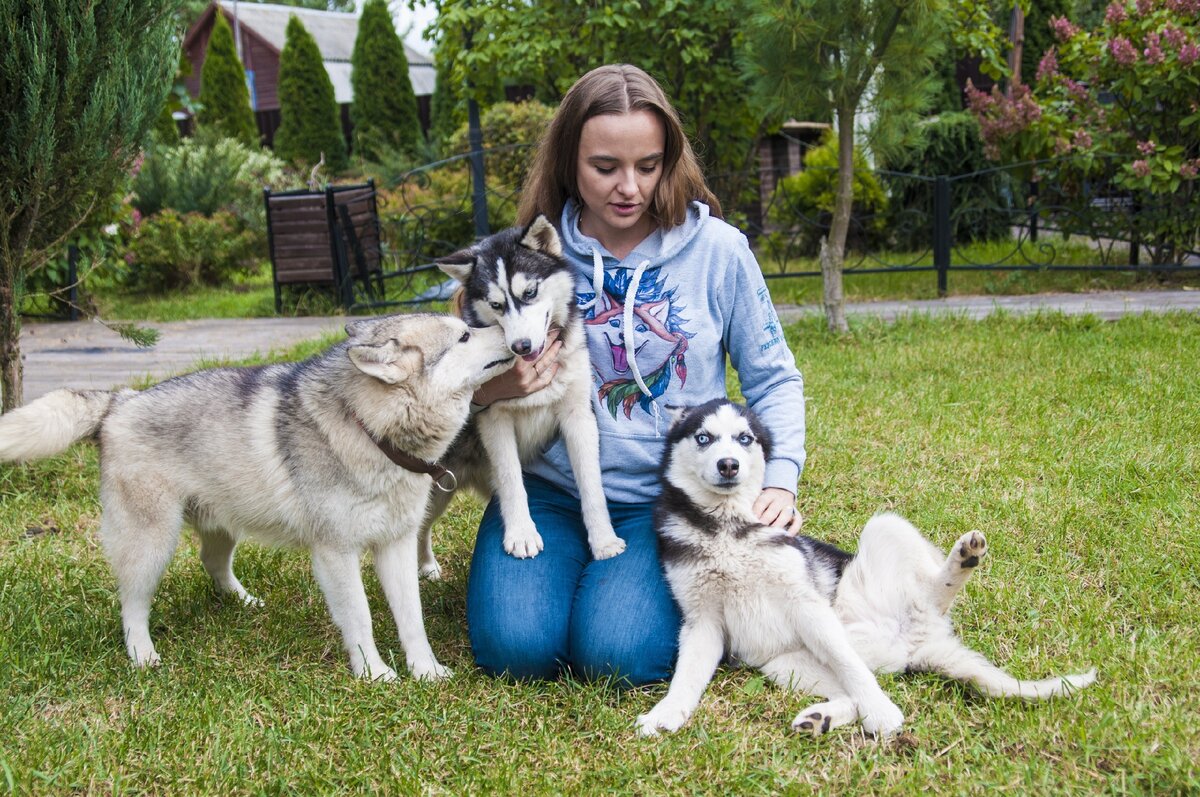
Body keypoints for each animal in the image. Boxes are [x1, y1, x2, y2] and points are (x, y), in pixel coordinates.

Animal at [0, 314, 511, 681]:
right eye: (465, 335)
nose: (515, 334)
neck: (370, 431)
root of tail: (118, 401)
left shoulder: (396, 545)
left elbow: (412, 619)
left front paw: (426, 671)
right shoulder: (336, 554)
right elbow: (361, 618)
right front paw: (374, 674)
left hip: (222, 528)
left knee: (211, 562)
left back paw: (243, 601)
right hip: (151, 545)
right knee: (132, 604)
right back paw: (142, 653)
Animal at [422, 214, 624, 568]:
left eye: (529, 292)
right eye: (496, 304)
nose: (521, 346)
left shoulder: (578, 417)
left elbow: (592, 486)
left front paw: (603, 540)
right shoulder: (495, 420)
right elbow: (511, 480)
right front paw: (522, 534)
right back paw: (426, 566)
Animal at [638, 400, 1099, 739]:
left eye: (744, 438)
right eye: (704, 438)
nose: (729, 464)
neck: (726, 527)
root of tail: (919, 644)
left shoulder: (806, 603)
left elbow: (852, 667)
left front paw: (882, 712)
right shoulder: (702, 620)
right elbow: (687, 677)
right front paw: (666, 713)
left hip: (885, 529)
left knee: (921, 604)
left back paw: (962, 561)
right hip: (786, 665)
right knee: (847, 691)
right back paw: (823, 717)